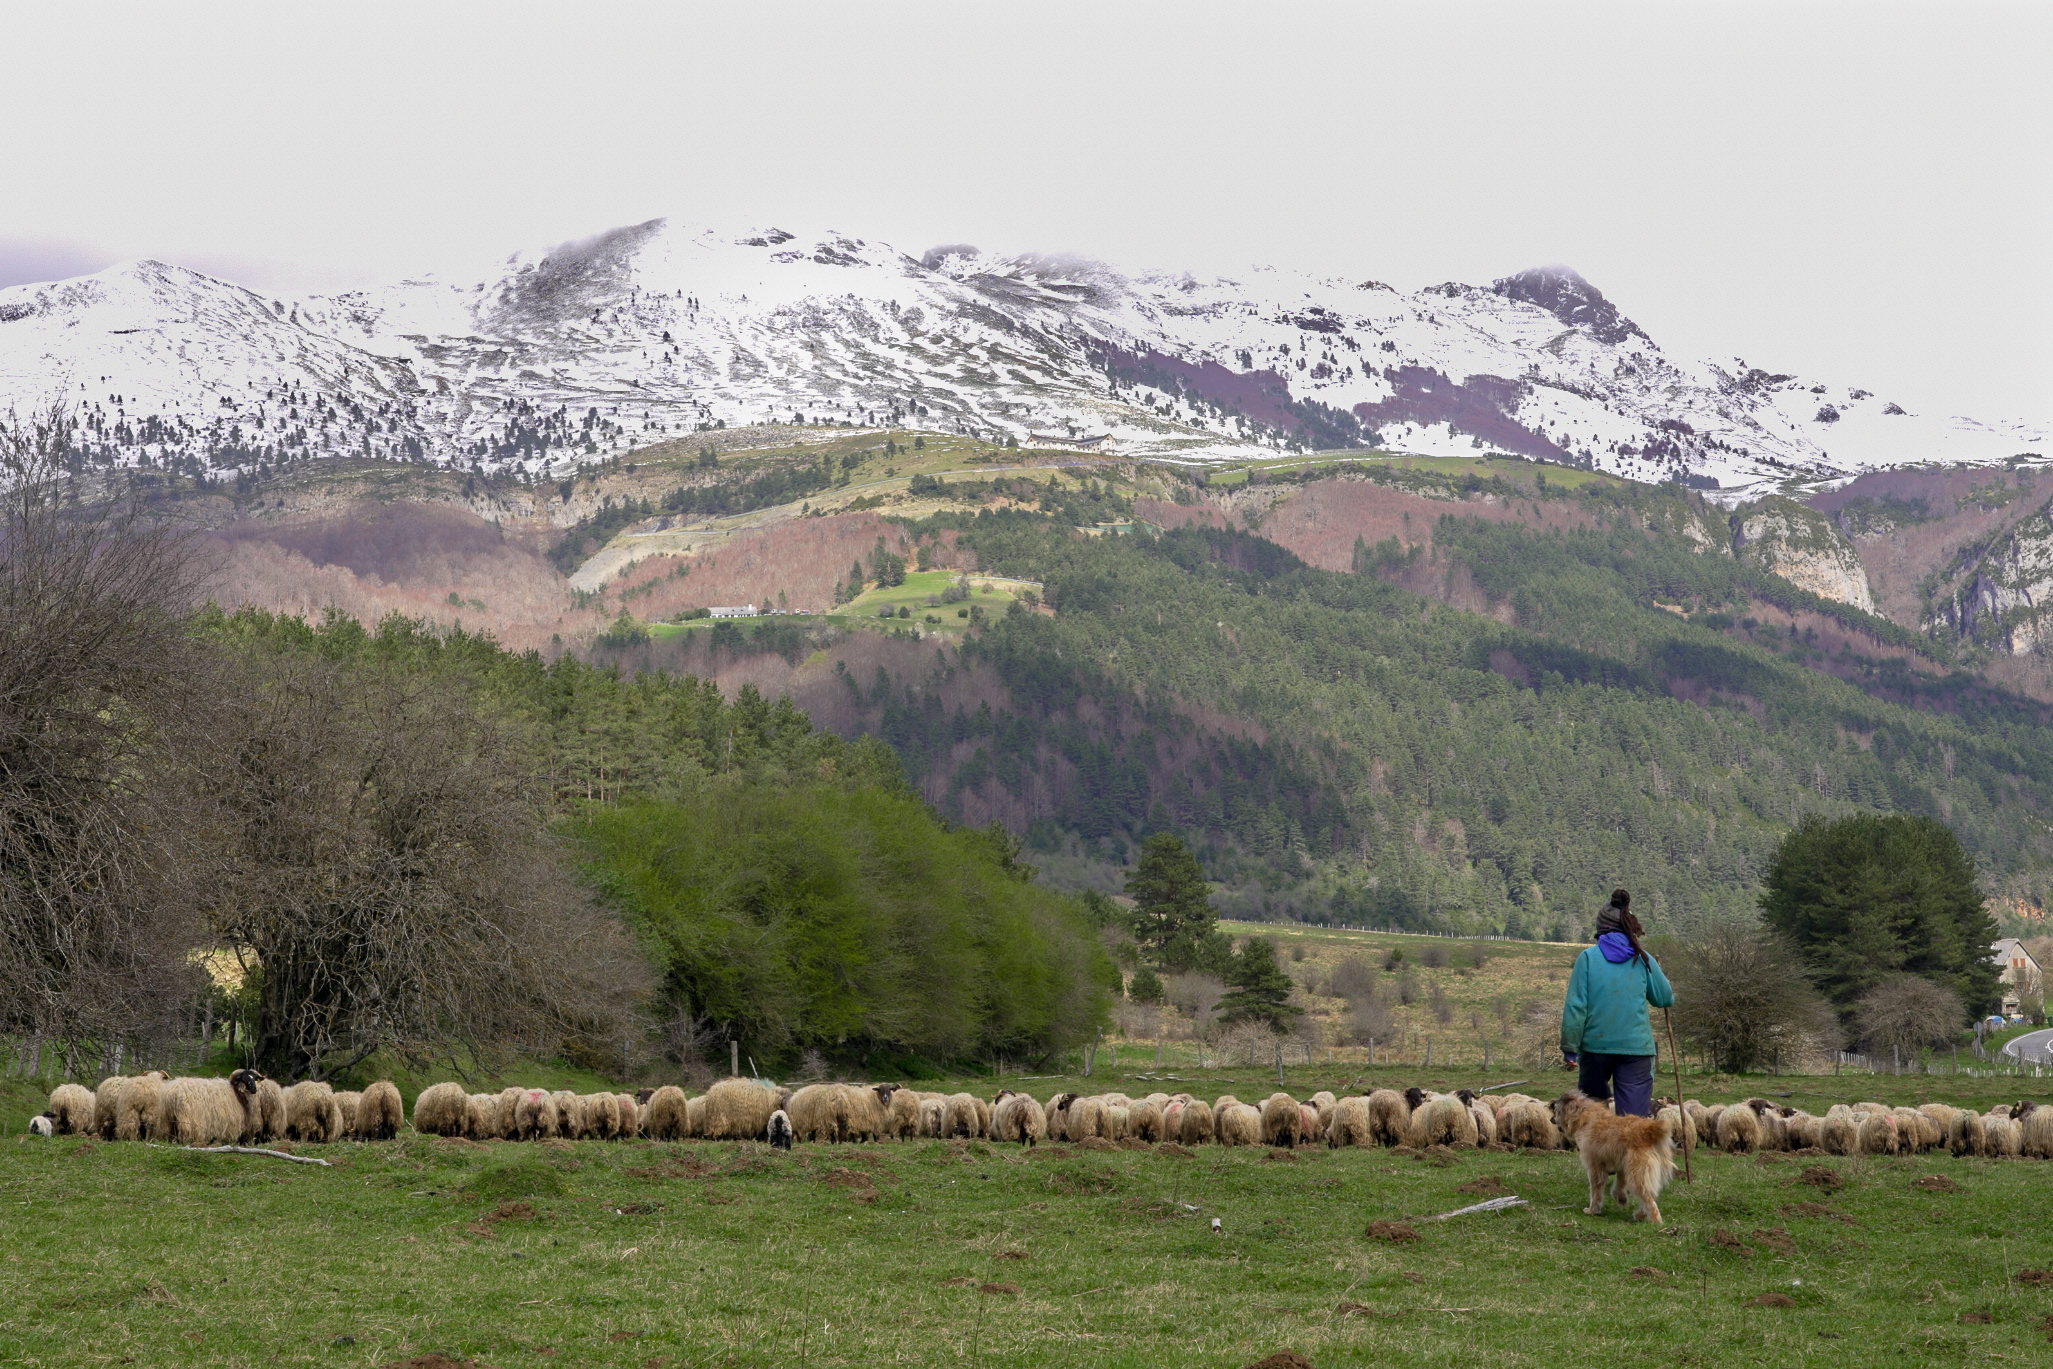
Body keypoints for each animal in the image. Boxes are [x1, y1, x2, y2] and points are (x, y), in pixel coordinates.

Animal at [1543, 1091, 1675, 1231]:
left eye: (1556, 1110)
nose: (1551, 1120)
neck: (1586, 1118)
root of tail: (1647, 1130)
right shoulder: (1622, 1164)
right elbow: (1620, 1183)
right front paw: (1620, 1197)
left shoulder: (1595, 1166)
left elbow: (1596, 1190)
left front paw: (1593, 1210)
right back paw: (1641, 1214)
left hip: (1638, 1173)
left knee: (1648, 1199)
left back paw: (1654, 1220)